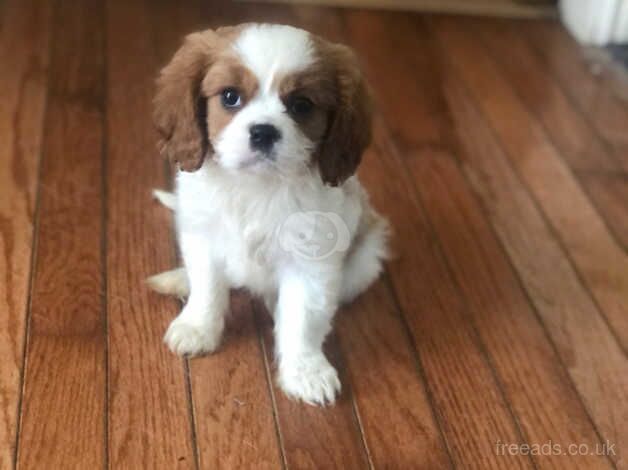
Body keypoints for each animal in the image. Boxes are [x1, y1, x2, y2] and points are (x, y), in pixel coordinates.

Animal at [150, 23, 390, 406]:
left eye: (301, 105)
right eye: (230, 97)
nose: (263, 131)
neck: (258, 185)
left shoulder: (311, 263)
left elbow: (302, 317)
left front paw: (306, 371)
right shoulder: (203, 238)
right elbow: (207, 287)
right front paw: (197, 327)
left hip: (365, 262)